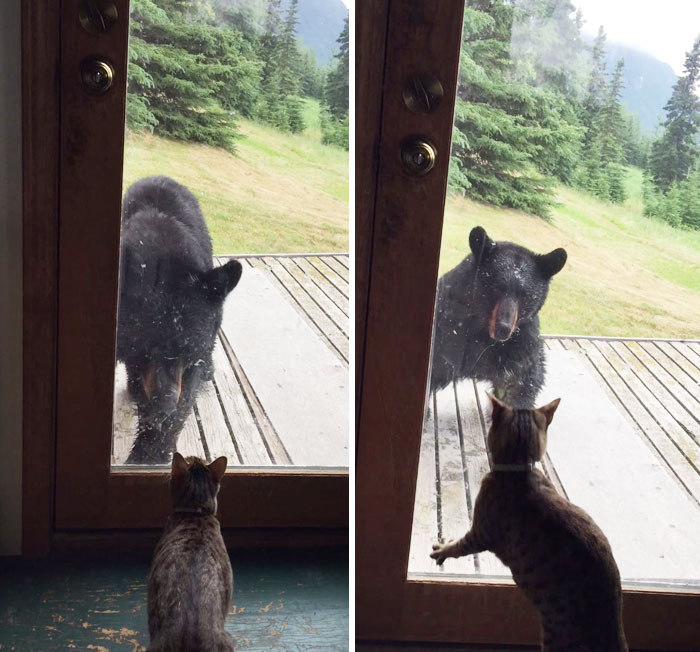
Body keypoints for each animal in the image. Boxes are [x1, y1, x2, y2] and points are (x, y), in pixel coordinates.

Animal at [429, 226, 567, 408]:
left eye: (525, 295)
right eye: (495, 287)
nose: (503, 328)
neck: (484, 334)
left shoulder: (521, 343)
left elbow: (524, 380)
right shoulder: (450, 328)